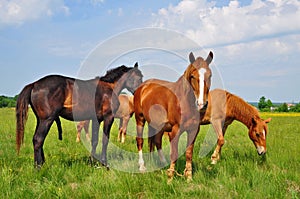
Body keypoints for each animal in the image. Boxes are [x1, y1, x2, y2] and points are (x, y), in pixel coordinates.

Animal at [134, 51, 213, 182]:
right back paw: (142, 167)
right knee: (140, 140)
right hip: (140, 118)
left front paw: (189, 177)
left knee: (156, 141)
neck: (185, 101)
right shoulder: (175, 130)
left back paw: (160, 163)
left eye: (210, 75)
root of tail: (143, 86)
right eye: (192, 76)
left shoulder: (193, 130)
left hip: (156, 124)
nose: (202, 104)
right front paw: (170, 178)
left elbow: (189, 153)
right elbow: (174, 153)